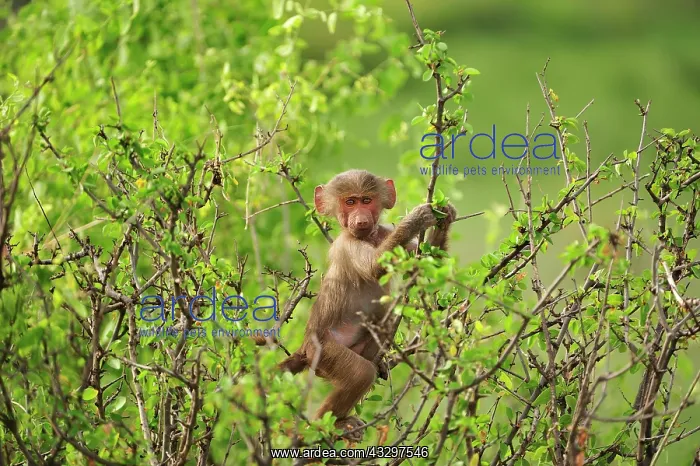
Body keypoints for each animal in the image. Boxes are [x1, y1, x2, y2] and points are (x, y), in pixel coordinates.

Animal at [275, 169, 456, 437]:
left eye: (367, 201)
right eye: (350, 202)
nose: (360, 220)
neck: (368, 237)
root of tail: (305, 348)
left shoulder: (383, 232)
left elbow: (426, 267)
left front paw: (444, 215)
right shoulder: (348, 246)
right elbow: (374, 267)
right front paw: (417, 219)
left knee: (383, 323)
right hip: (324, 351)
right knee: (360, 373)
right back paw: (326, 425)